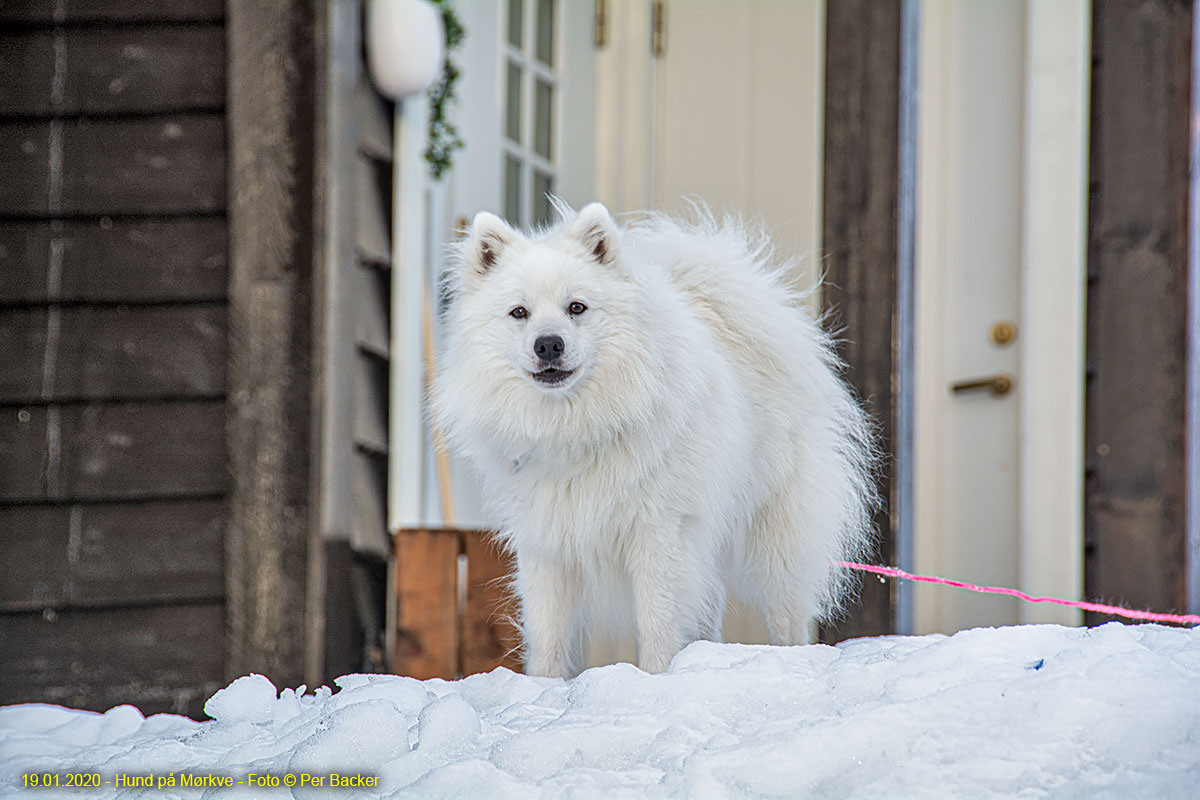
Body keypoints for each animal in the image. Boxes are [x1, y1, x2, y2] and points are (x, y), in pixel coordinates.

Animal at [432, 201, 873, 676]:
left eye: (576, 307)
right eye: (519, 313)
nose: (548, 344)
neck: (575, 429)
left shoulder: (659, 532)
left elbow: (658, 621)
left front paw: (658, 677)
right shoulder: (547, 542)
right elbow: (547, 636)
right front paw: (542, 688)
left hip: (774, 535)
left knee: (787, 612)